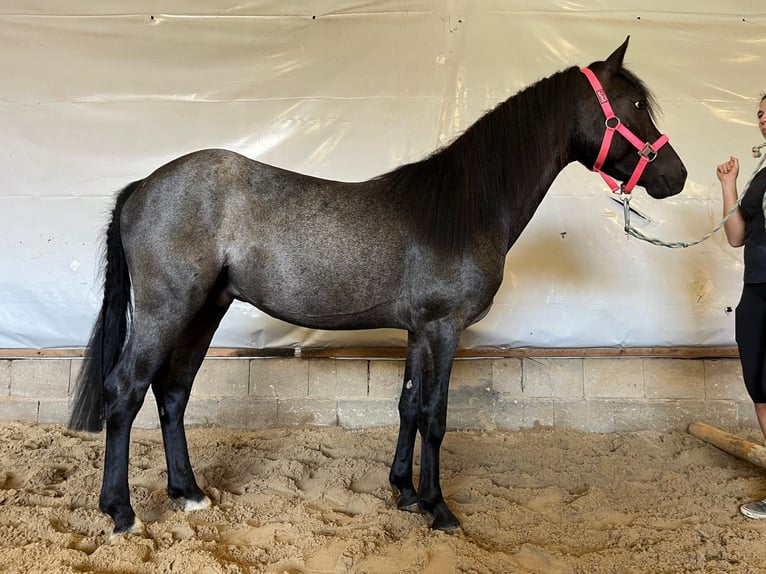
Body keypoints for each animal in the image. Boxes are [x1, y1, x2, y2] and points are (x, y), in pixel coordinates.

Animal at [69, 37, 687, 535]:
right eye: (634, 106)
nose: (675, 176)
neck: (461, 209)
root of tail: (144, 185)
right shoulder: (443, 328)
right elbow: (435, 416)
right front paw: (440, 510)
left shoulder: (418, 330)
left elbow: (409, 406)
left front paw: (406, 493)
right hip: (166, 310)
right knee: (125, 390)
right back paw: (121, 512)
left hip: (205, 310)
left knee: (173, 391)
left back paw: (189, 494)